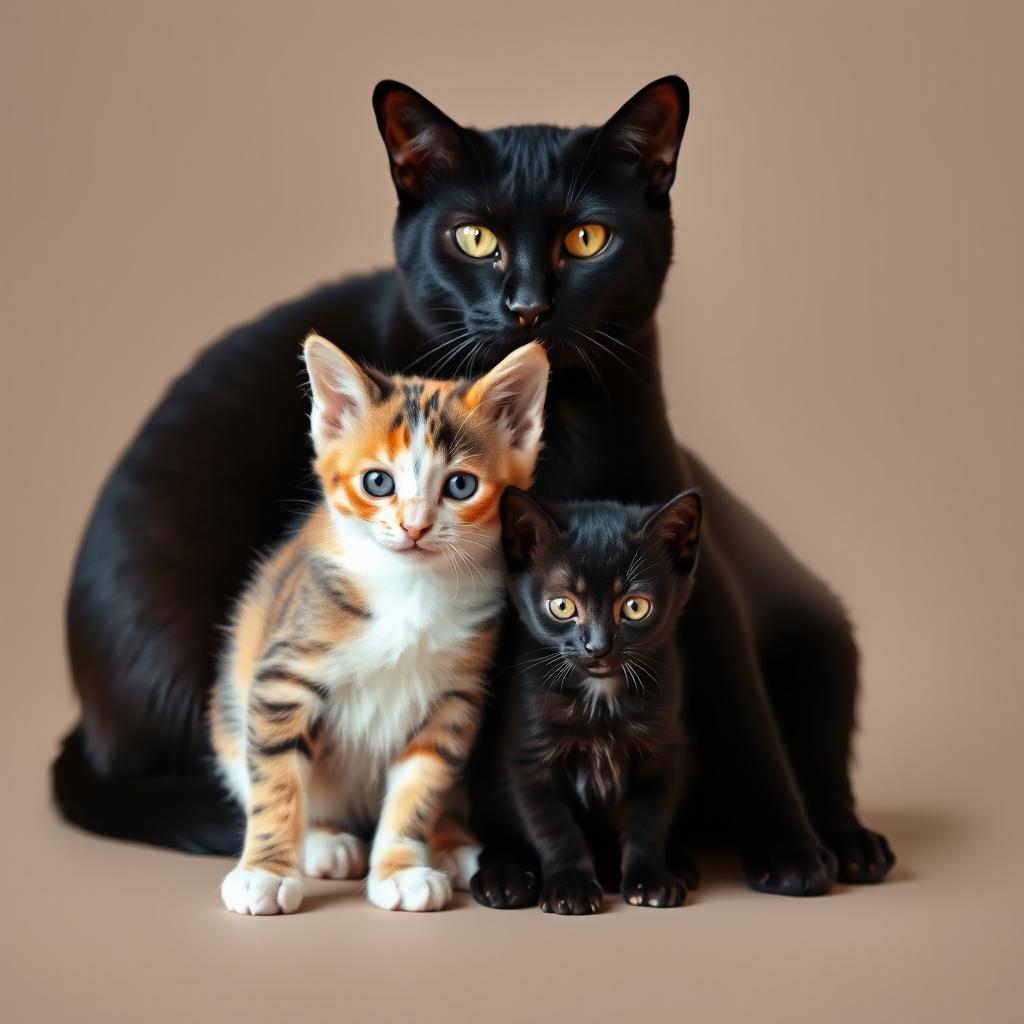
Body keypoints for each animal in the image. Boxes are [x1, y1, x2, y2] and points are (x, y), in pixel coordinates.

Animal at [209, 333, 552, 913]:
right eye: (377, 482)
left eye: (461, 486)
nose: (414, 527)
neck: (411, 590)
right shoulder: (283, 677)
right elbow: (277, 781)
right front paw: (265, 871)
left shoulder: (453, 701)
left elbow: (420, 787)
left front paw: (401, 868)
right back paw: (324, 842)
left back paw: (454, 844)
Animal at [471, 483, 704, 917]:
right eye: (562, 605)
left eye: (635, 606)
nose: (597, 646)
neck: (600, 696)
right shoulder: (527, 758)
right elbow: (555, 828)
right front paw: (571, 886)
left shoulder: (664, 751)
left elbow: (648, 821)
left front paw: (650, 879)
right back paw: (503, 879)